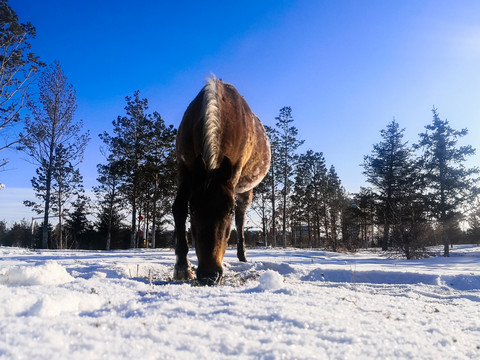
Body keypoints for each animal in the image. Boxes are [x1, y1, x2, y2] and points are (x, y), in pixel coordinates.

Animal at [172, 77, 270, 286]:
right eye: (194, 210)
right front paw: (182, 267)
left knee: (241, 220)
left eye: (229, 210)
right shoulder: (185, 168)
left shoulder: (235, 170)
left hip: (245, 190)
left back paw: (242, 256)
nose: (209, 275)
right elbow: (179, 209)